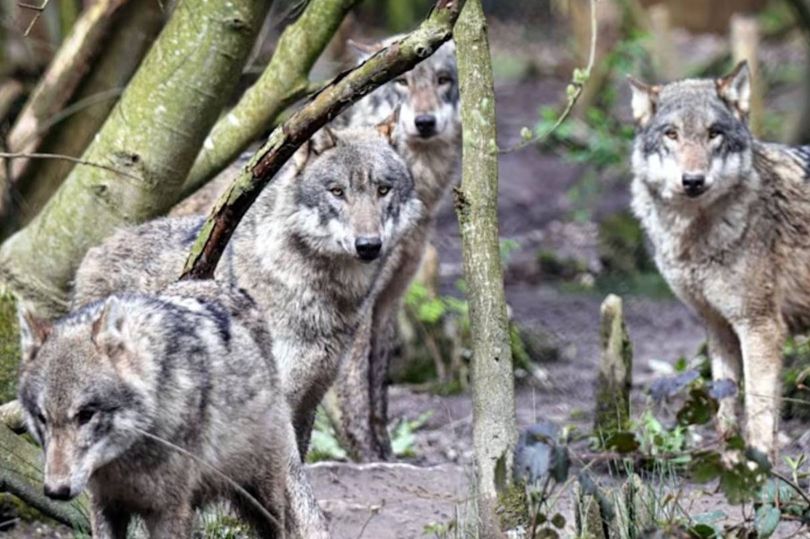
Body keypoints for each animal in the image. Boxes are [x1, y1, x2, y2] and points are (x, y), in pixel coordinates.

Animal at [18, 280, 327, 538]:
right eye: (42, 418)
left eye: (85, 415)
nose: (55, 491)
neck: (127, 458)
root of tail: (231, 287)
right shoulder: (105, 504)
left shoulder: (169, 510)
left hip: (262, 495)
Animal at [331, 38, 462, 460]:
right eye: (402, 82)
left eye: (442, 80)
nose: (424, 122)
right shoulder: (356, 308)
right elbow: (354, 393)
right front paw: (367, 459)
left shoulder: (389, 299)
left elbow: (378, 389)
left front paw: (386, 454)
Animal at [629, 60, 810, 459]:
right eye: (672, 134)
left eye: (713, 133)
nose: (693, 180)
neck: (696, 238)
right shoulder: (718, 325)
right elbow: (726, 413)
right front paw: (730, 466)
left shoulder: (761, 327)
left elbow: (758, 416)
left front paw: (759, 467)